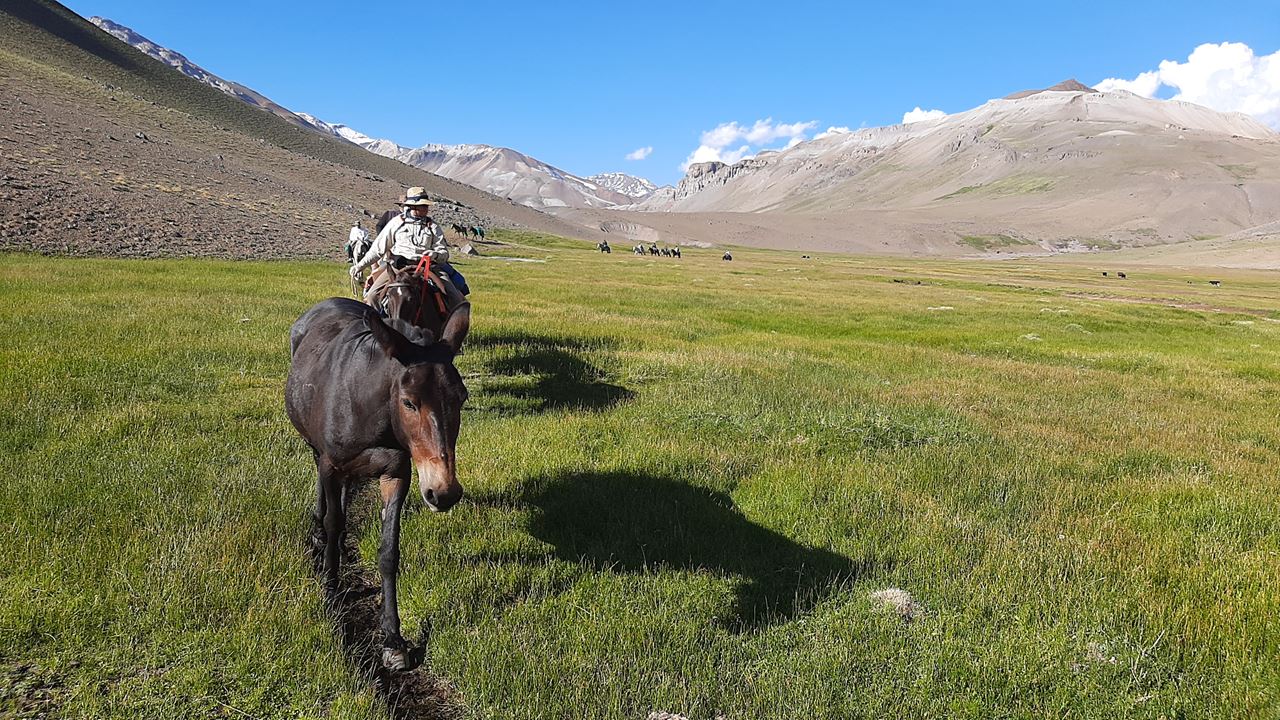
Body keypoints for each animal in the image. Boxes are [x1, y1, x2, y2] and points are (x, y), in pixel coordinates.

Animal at [286, 297, 471, 671]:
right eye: (409, 402)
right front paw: (330, 591)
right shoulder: (330, 465)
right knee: (327, 499)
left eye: (462, 398)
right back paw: (321, 533)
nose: (444, 493)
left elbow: (389, 552)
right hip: (317, 451)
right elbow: (333, 522)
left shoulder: (396, 474)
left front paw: (393, 639)